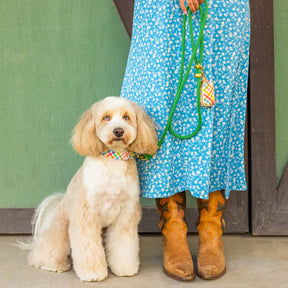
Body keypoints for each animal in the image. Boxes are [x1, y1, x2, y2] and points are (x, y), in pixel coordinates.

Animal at [20, 97, 158, 282]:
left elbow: (124, 246)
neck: (113, 161)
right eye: (106, 117)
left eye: (126, 117)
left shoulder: (126, 215)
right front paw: (93, 273)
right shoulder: (86, 214)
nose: (118, 131)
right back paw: (52, 264)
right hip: (62, 231)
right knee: (46, 251)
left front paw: (124, 268)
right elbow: (88, 247)